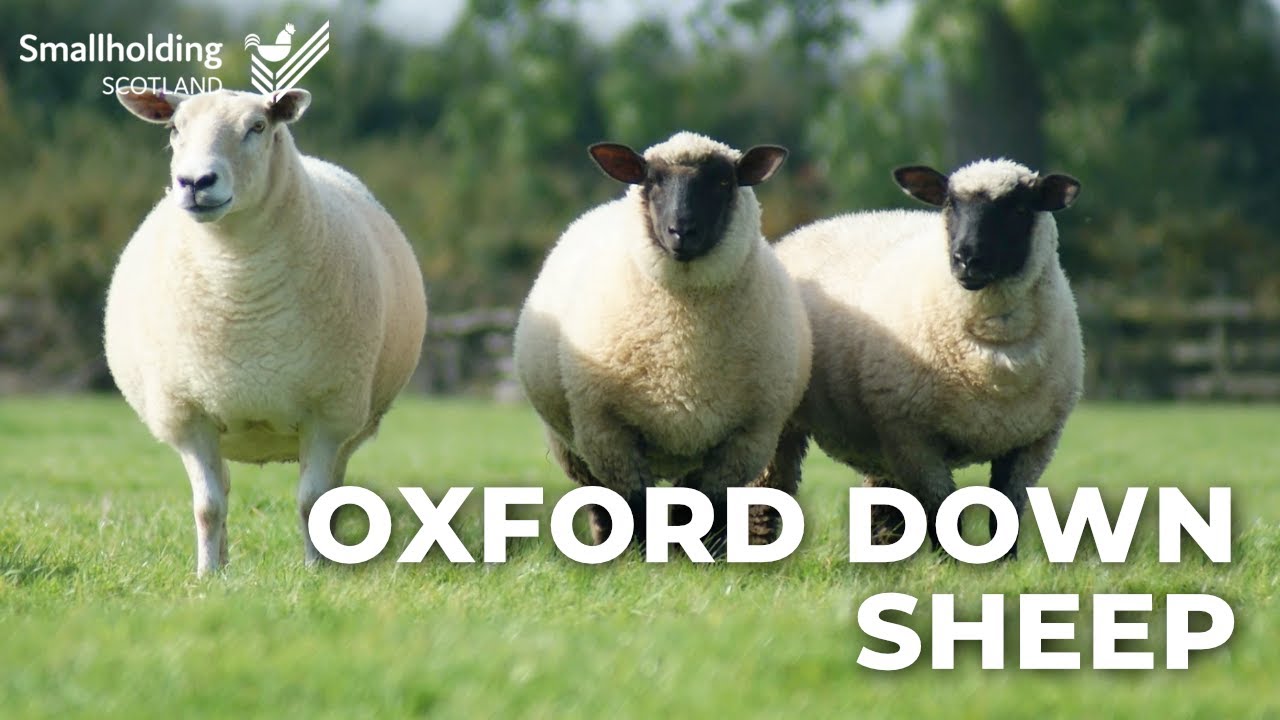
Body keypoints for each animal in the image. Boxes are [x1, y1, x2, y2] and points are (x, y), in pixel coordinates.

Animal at [106, 88, 428, 575]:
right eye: (175, 128)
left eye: (257, 127)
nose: (195, 182)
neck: (239, 285)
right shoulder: (187, 413)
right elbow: (208, 507)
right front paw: (206, 576)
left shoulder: (328, 411)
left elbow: (313, 503)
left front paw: (316, 571)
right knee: (221, 488)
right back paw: (222, 562)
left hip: (349, 421)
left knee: (335, 490)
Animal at [513, 131, 811, 553]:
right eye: (652, 181)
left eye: (724, 181)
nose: (681, 232)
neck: (682, 345)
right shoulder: (609, 433)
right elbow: (633, 508)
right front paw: (640, 560)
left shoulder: (745, 439)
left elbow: (712, 511)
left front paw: (706, 559)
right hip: (573, 445)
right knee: (601, 507)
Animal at [760, 158, 1083, 557]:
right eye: (949, 205)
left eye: (1021, 208)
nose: (967, 259)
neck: (993, 364)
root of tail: (805, 229)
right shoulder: (915, 440)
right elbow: (940, 512)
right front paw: (950, 564)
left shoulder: (1033, 443)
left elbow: (1006, 514)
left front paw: (1004, 565)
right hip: (782, 421)